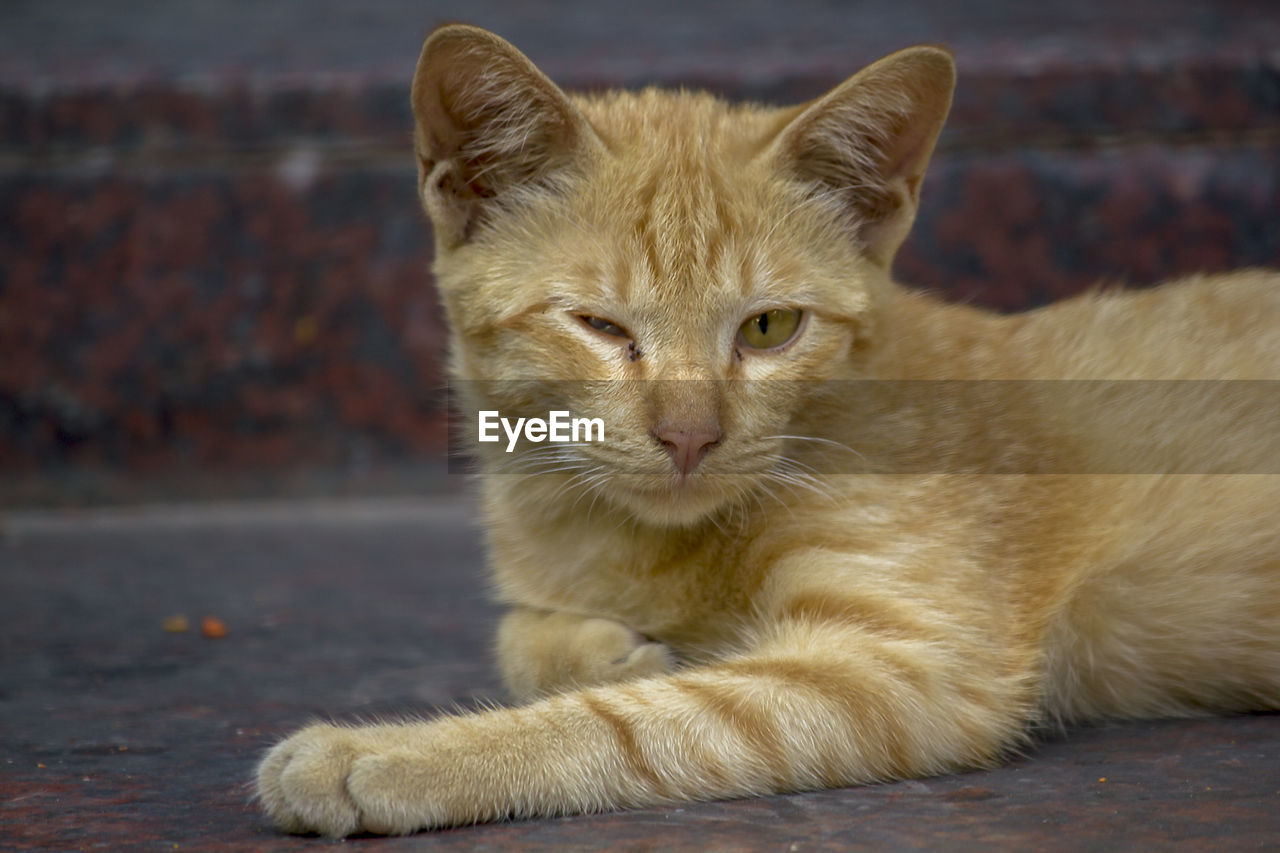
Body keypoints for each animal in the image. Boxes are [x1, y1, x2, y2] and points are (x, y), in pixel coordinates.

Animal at [254, 23, 1274, 835]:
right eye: (602, 326)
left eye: (769, 327)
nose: (689, 436)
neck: (628, 541)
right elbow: (522, 631)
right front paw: (601, 649)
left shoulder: (905, 665)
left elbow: (635, 723)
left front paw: (383, 758)